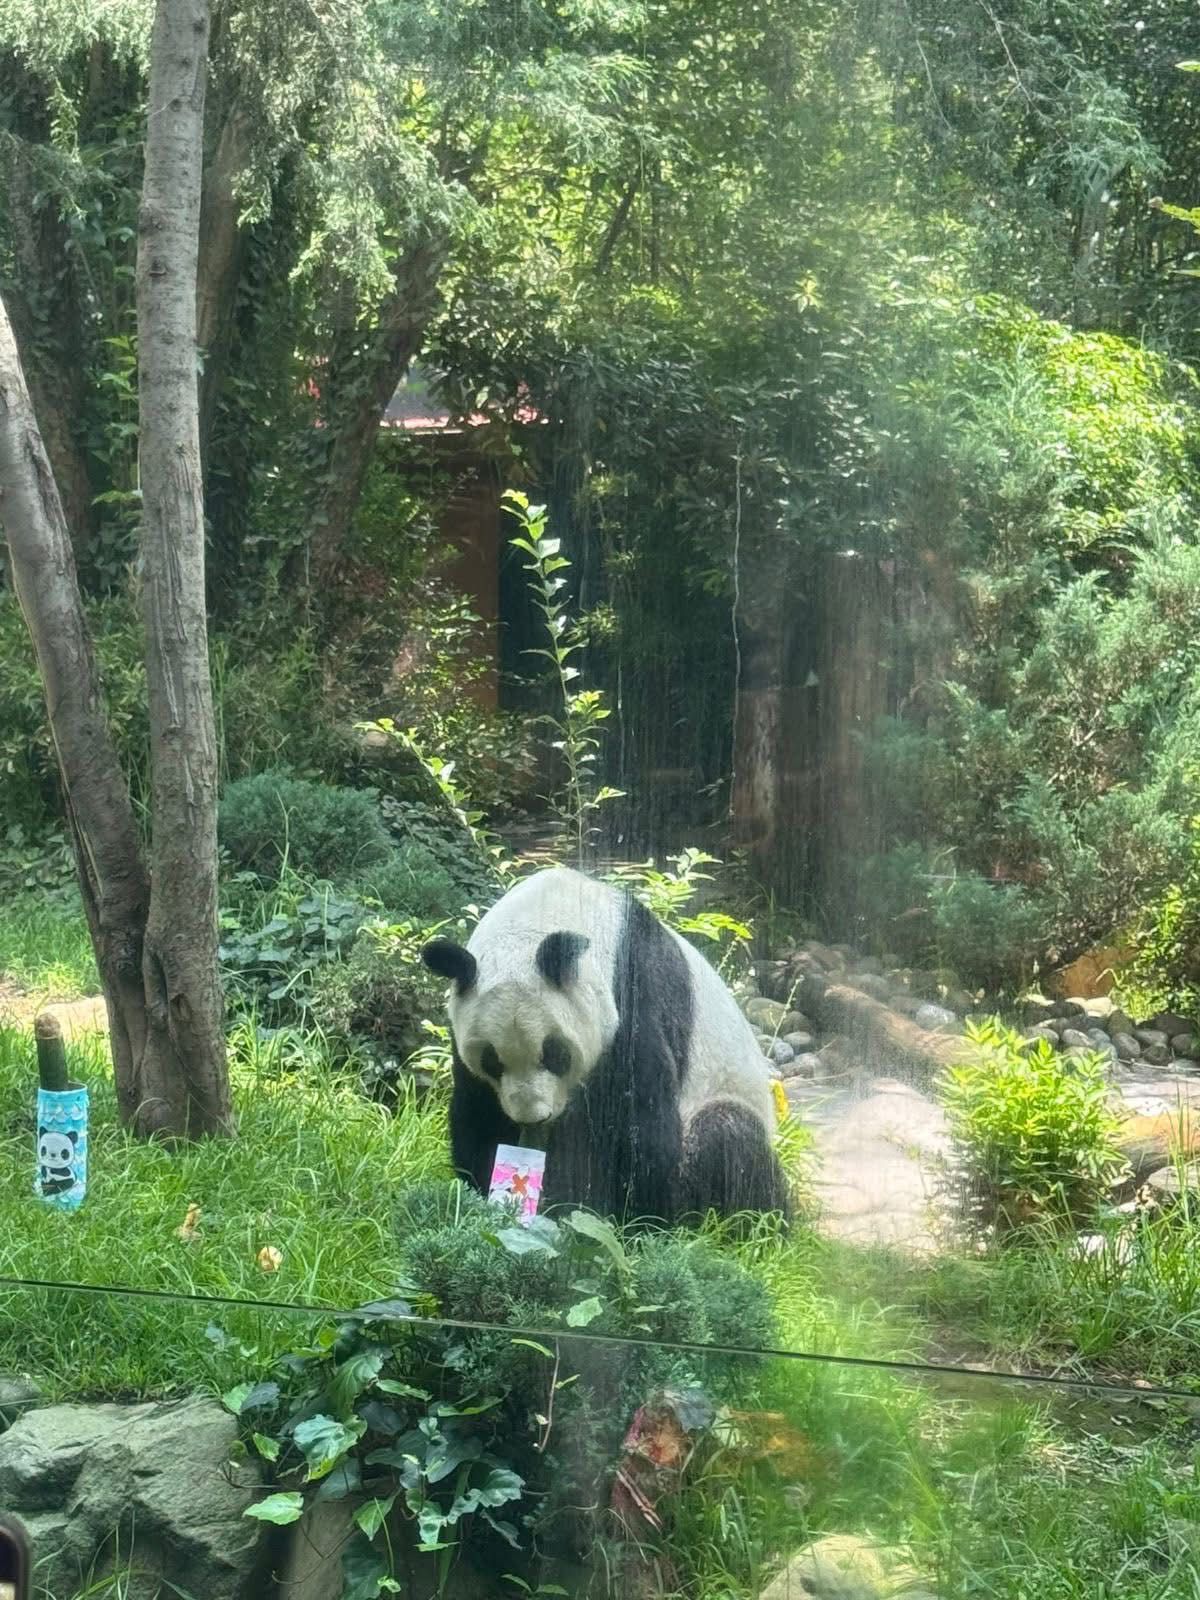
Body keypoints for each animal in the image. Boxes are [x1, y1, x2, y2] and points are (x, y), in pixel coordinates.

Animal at [421, 865, 790, 1225]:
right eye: (492, 1062)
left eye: (555, 1055)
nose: (533, 1117)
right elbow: (478, 1111)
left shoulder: (634, 995)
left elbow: (639, 1123)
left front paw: (619, 1213)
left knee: (727, 1136)